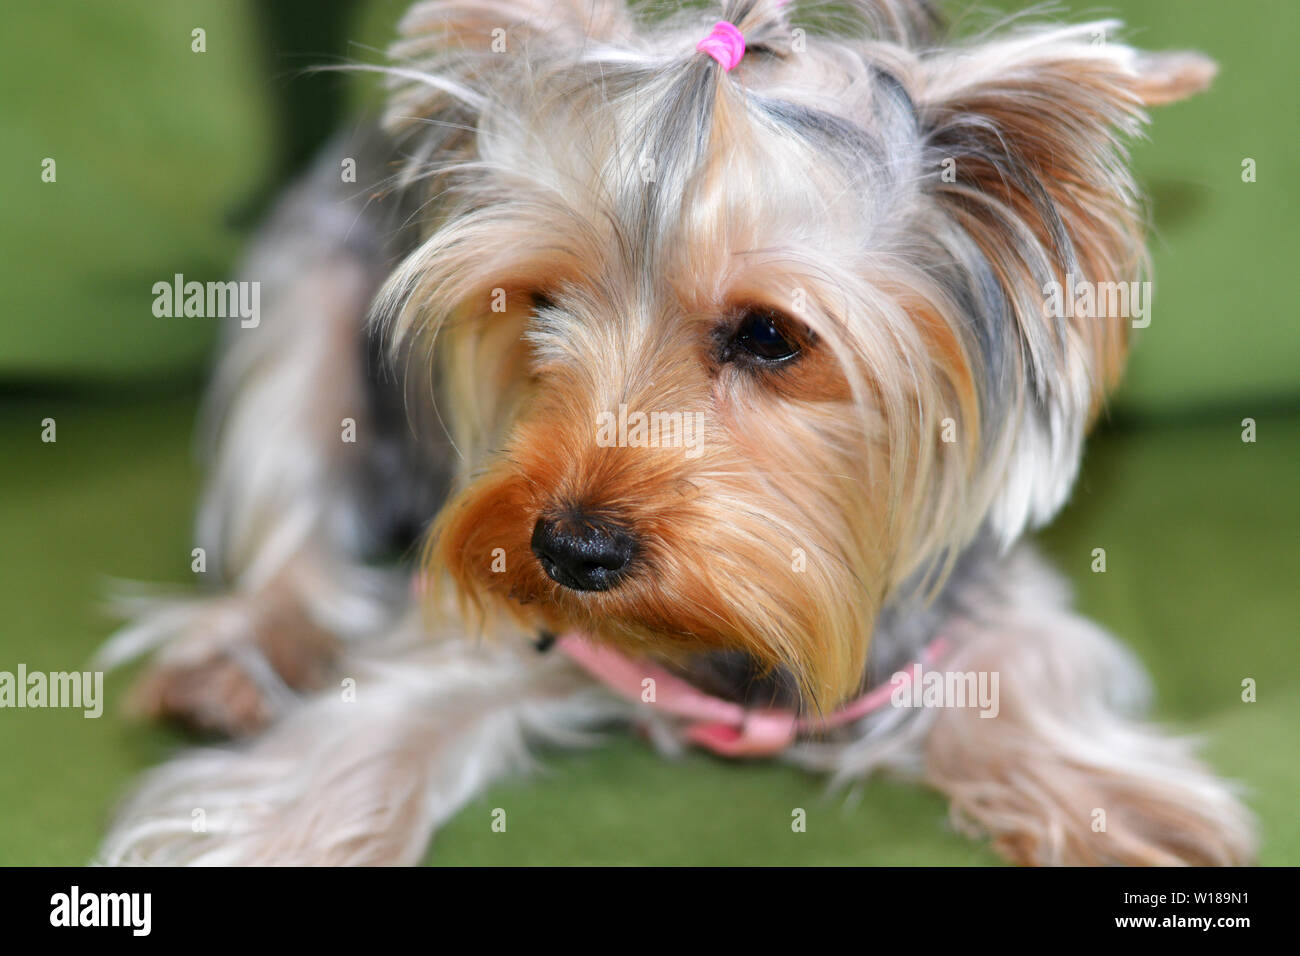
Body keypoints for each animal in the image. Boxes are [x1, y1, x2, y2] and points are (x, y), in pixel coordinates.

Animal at [96, 0, 1253, 868]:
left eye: (770, 334)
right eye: (536, 301)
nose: (570, 549)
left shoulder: (972, 591)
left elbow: (1029, 664)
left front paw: (1121, 798)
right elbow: (377, 715)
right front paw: (269, 827)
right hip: (300, 305)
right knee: (287, 504)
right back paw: (239, 656)